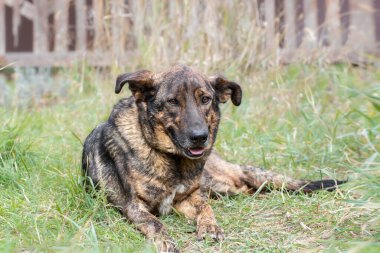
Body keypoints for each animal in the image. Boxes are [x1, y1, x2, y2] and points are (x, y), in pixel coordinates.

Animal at [82, 65, 344, 253]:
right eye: (172, 101)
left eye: (205, 99)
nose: (200, 137)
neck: (171, 158)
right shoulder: (134, 206)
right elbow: (155, 223)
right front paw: (165, 241)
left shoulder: (189, 197)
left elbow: (205, 207)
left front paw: (210, 227)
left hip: (217, 184)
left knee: (246, 186)